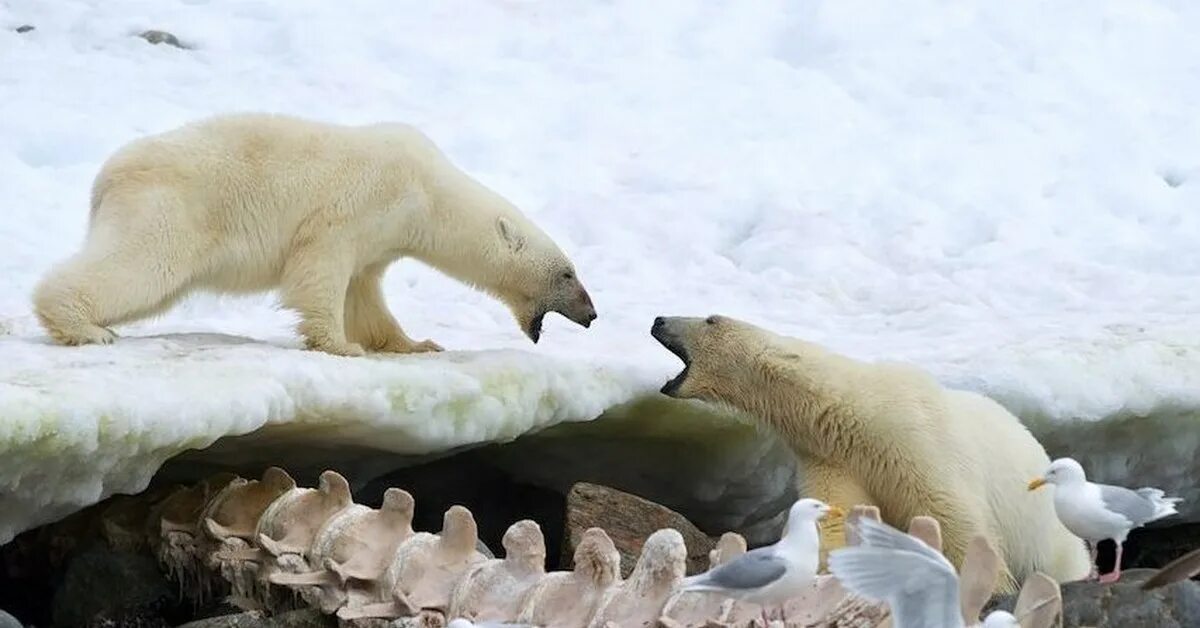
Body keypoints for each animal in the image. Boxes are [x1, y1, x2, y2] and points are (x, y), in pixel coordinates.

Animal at [35, 112, 597, 355]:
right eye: (567, 273)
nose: (592, 315)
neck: (428, 190)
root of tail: (107, 177)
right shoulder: (361, 202)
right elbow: (321, 264)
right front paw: (339, 345)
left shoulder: (381, 237)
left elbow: (364, 293)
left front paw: (416, 344)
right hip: (171, 208)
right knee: (141, 266)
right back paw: (86, 328)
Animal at [652, 314, 1094, 595]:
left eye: (711, 319)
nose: (658, 319)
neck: (855, 409)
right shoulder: (833, 457)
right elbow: (835, 514)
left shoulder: (916, 437)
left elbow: (952, 516)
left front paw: (990, 584)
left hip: (1047, 533)